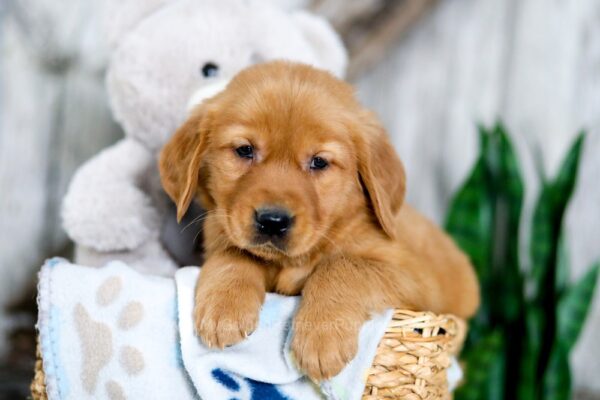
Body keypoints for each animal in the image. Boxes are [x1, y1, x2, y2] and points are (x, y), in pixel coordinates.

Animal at [158, 61, 478, 380]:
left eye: (319, 162)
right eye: (245, 150)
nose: (272, 221)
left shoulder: (418, 281)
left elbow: (342, 266)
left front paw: (322, 338)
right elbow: (235, 252)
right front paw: (225, 306)